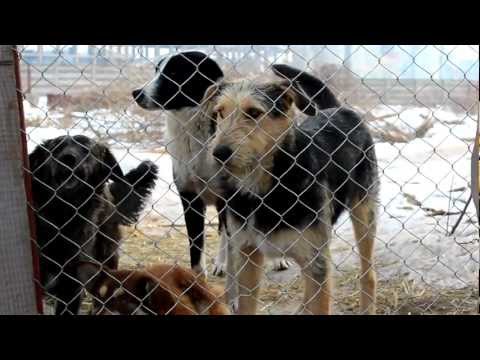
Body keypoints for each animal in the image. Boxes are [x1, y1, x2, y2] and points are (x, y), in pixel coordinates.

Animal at [29, 135, 158, 316]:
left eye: (87, 149)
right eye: (56, 147)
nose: (67, 158)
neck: (63, 214)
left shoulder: (72, 284)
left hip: (107, 254)